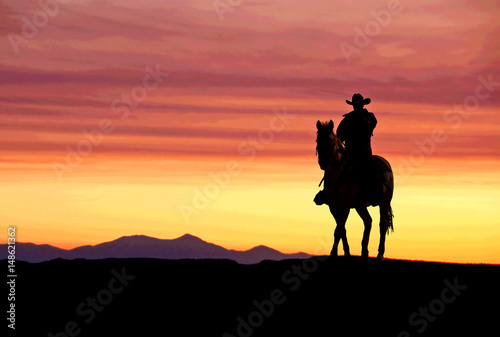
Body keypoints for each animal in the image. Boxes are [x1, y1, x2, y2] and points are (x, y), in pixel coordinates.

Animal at [316, 120, 394, 260]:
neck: (338, 175)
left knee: (382, 224)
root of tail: (385, 163)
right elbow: (341, 229)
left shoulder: (345, 206)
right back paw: (364, 251)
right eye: (318, 140)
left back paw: (380, 254)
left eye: (331, 140)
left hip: (384, 203)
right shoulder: (333, 207)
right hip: (360, 205)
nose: (323, 163)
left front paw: (333, 253)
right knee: (368, 221)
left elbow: (338, 230)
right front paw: (345, 252)